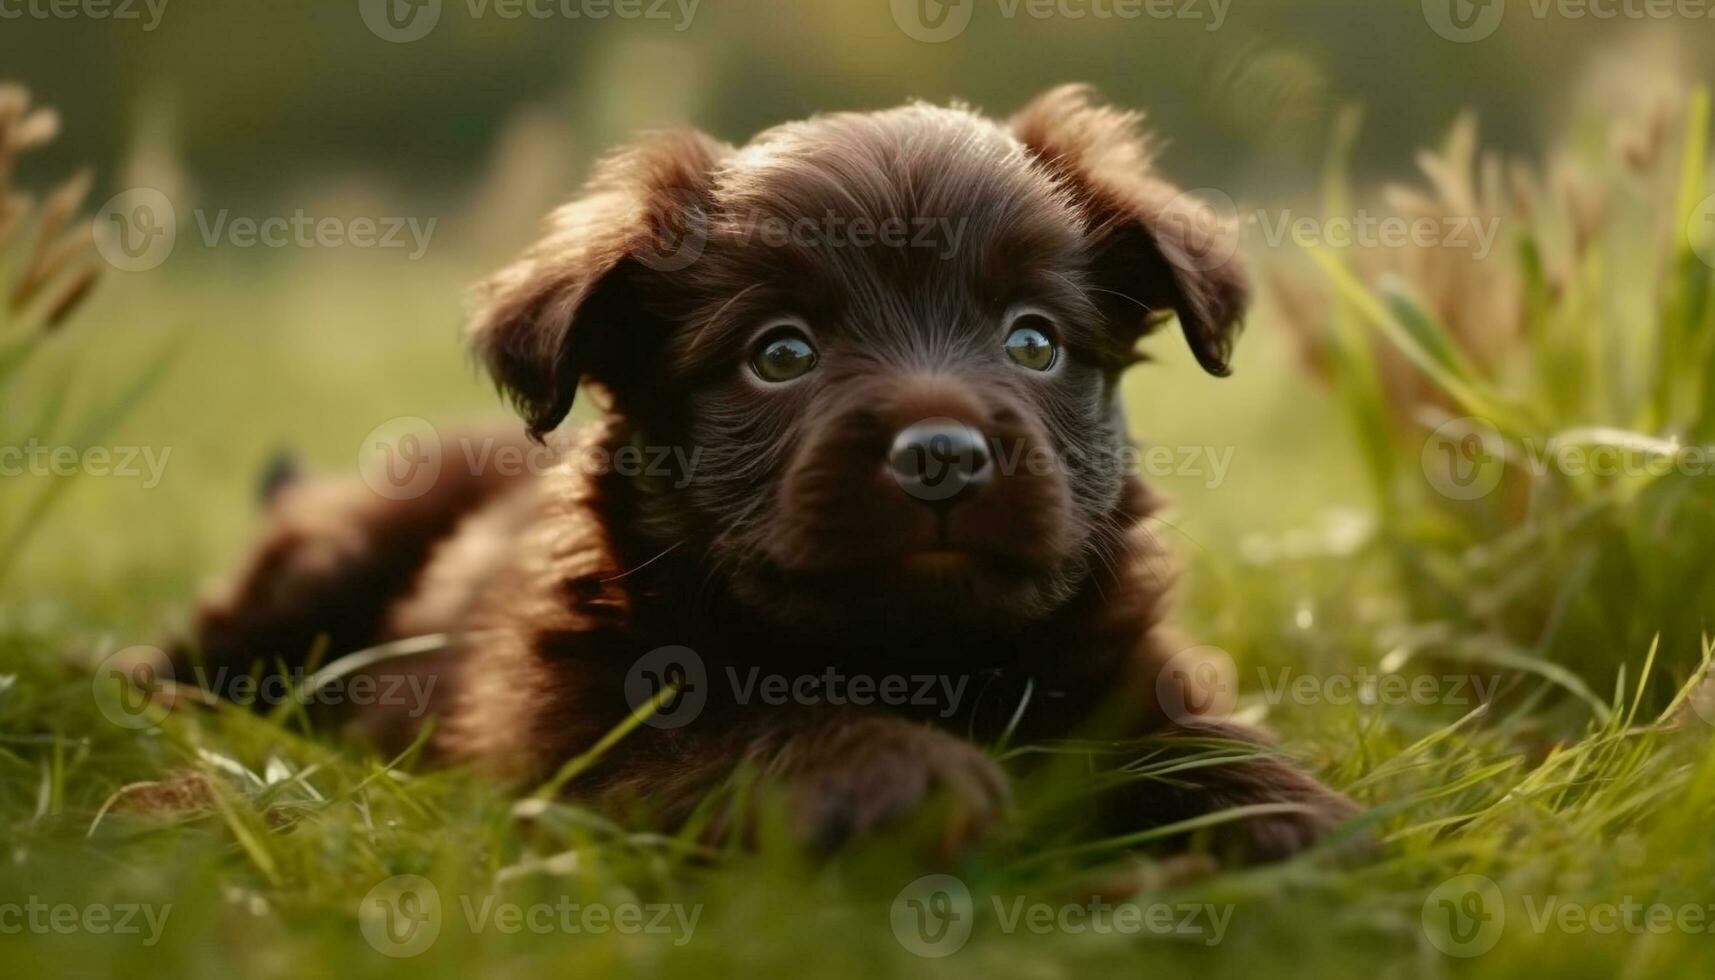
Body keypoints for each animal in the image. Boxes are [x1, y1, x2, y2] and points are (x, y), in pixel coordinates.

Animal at [174, 86, 1351, 865]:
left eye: (1033, 340)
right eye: (778, 353)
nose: (941, 455)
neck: (910, 658)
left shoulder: (1119, 663)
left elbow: (1176, 738)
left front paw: (1276, 805)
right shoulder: (567, 742)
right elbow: (734, 734)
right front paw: (885, 768)